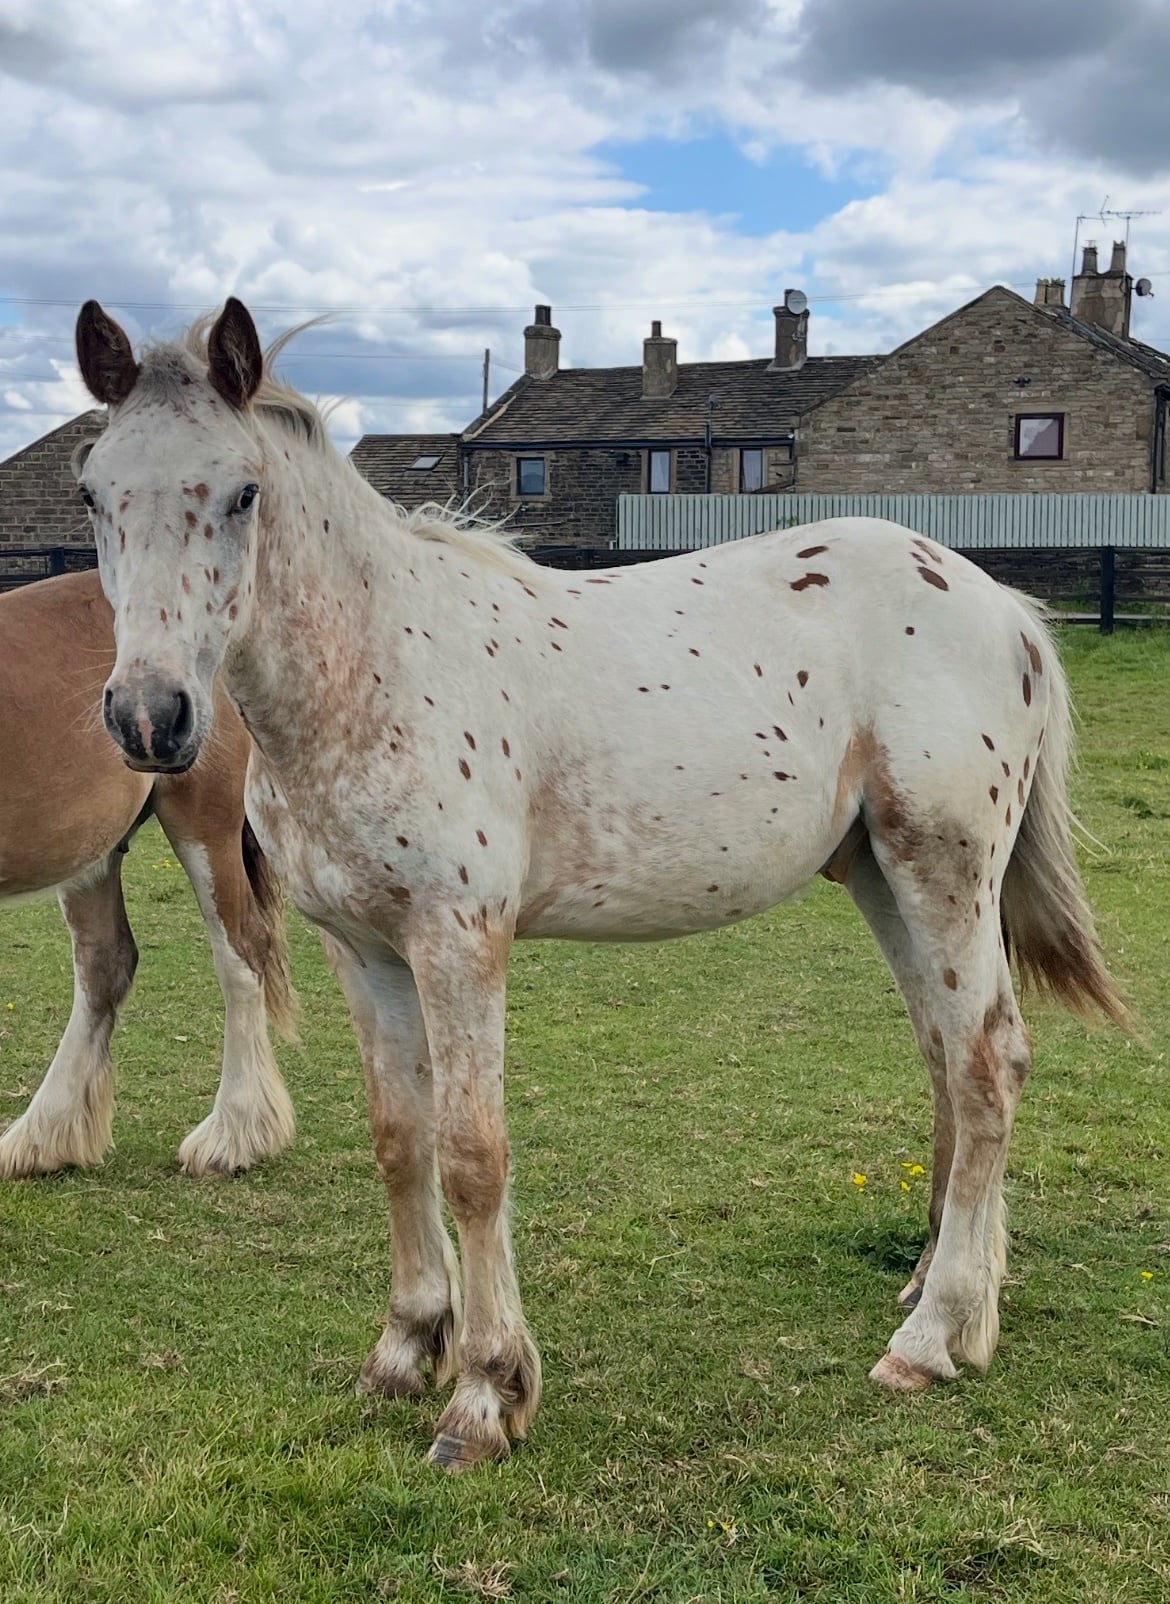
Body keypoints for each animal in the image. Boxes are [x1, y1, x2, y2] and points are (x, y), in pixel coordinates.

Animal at [0, 567, 297, 1179]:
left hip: (202, 825)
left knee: (242, 954)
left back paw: (234, 1134)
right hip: (93, 851)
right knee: (103, 967)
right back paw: (45, 1136)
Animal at [72, 296, 1126, 1471]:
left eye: (244, 491)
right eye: (94, 491)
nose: (150, 718)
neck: (378, 668)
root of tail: (1005, 607)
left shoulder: (459, 942)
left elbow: (472, 1154)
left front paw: (484, 1394)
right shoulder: (366, 950)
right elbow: (399, 1141)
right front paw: (404, 1348)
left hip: (943, 869)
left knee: (987, 1065)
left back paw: (934, 1336)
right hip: (880, 875)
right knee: (951, 1053)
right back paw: (951, 1290)